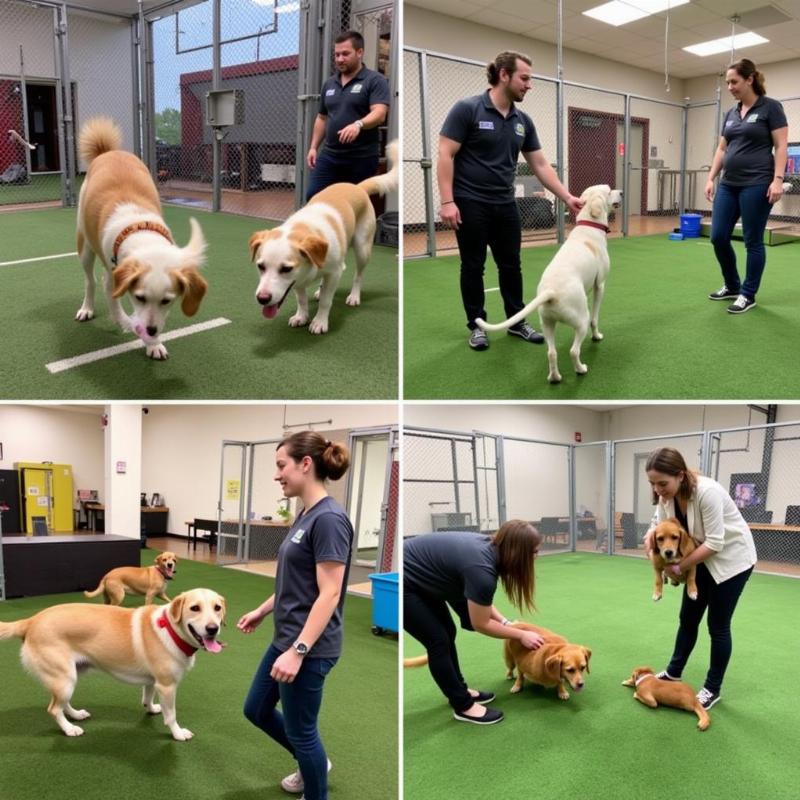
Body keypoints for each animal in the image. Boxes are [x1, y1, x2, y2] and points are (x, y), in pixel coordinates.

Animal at [0, 584, 227, 740]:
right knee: (53, 709)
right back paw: (70, 729)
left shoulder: (153, 681)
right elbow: (171, 715)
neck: (171, 629)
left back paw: (76, 715)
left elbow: (147, 697)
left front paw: (151, 708)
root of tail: (31, 621)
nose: (213, 629)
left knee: (61, 705)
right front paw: (178, 733)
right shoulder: (167, 686)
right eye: (195, 608)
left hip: (68, 678)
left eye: (217, 608)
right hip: (64, 678)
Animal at [75, 116, 208, 360]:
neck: (141, 233)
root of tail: (108, 152)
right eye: (139, 297)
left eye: (167, 301)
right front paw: (133, 328)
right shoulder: (112, 280)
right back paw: (87, 308)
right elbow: (120, 310)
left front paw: (154, 343)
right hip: (85, 246)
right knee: (89, 280)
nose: (152, 330)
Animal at [248, 141, 398, 334]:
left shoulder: (334, 273)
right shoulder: (299, 280)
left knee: (358, 275)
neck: (303, 228)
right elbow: (301, 299)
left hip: (362, 248)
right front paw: (301, 316)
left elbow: (327, 301)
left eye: (286, 269)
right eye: (261, 266)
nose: (262, 298)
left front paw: (319, 321)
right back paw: (320, 291)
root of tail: (357, 187)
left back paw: (354, 296)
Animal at [476, 184, 624, 382]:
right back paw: (581, 369)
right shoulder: (599, 286)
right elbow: (595, 318)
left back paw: (554, 377)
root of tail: (551, 292)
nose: (621, 192)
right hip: (580, 321)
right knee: (573, 351)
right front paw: (597, 336)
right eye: (608, 190)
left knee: (552, 353)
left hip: (547, 324)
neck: (588, 223)